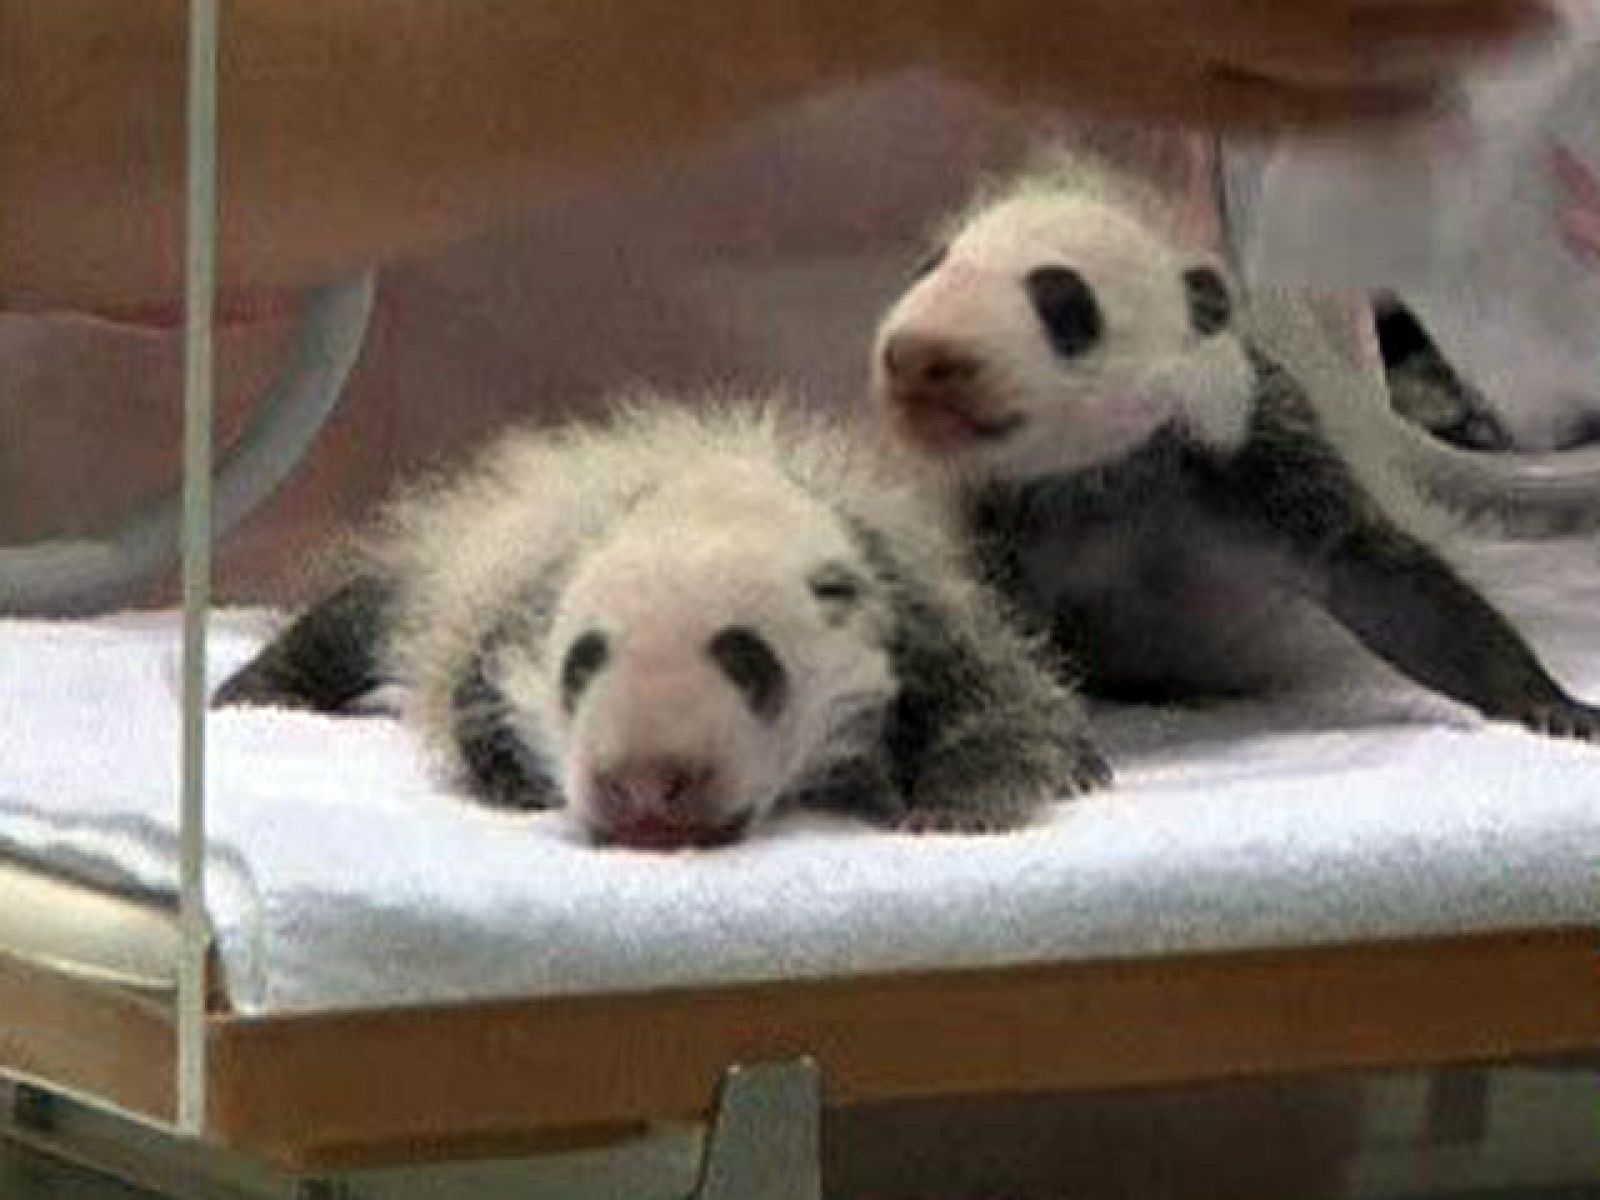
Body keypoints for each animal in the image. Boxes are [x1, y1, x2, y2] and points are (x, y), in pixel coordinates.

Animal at [214, 391, 1109, 849]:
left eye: (748, 661)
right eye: (581, 664)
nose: (646, 782)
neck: (708, 490)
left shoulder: (904, 595)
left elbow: (998, 698)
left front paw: (953, 809)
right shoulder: (525, 594)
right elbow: (476, 689)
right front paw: (518, 784)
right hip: (443, 558)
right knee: (359, 617)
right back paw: (256, 694)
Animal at [868, 155, 1600, 739]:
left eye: (1062, 300)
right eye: (929, 268)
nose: (921, 355)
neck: (1105, 470)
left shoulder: (1251, 461)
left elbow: (1384, 584)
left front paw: (1553, 704)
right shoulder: (997, 510)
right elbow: (996, 623)